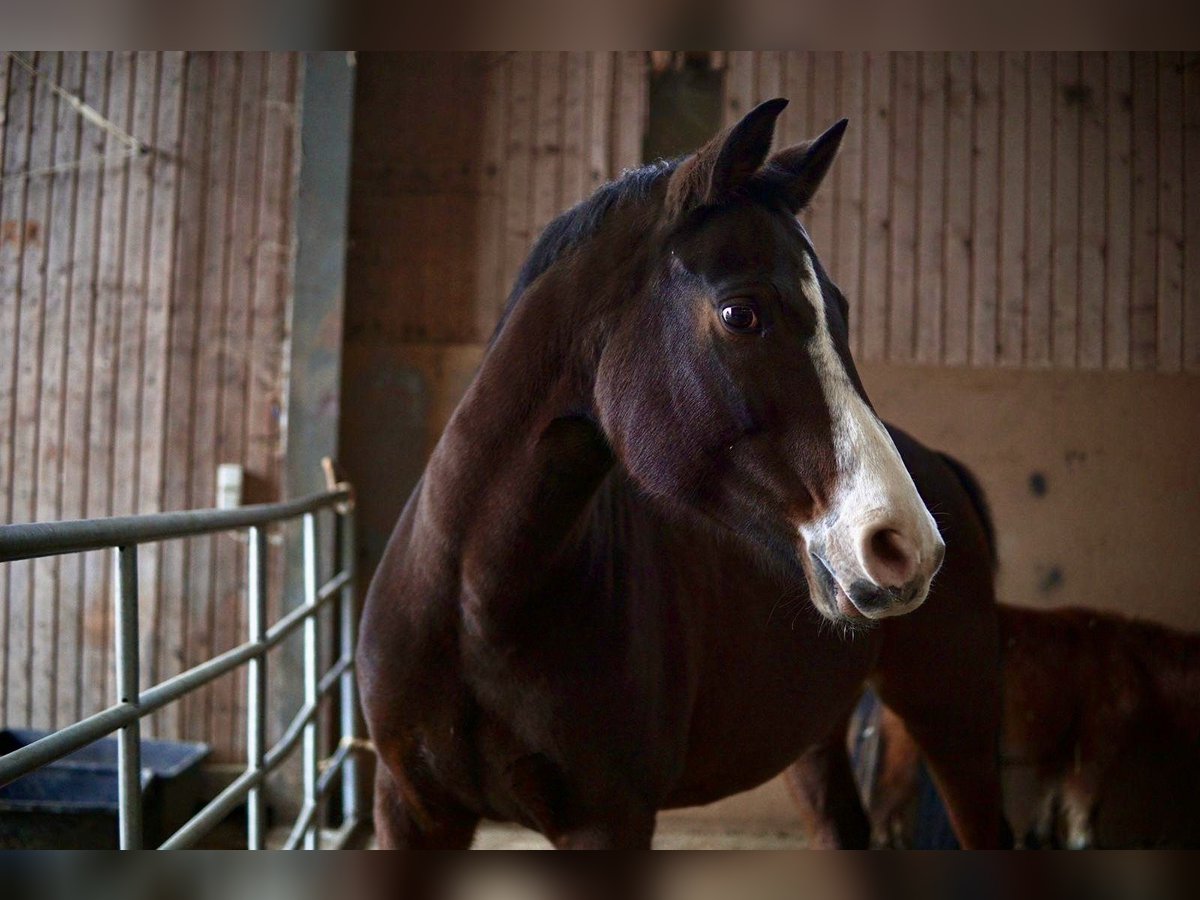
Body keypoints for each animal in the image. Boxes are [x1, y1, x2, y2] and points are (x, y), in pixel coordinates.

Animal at [352, 100, 1003, 854]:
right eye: (741, 313)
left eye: (841, 312)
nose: (905, 545)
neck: (473, 600)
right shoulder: (410, 809)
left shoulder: (608, 822)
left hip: (955, 723)